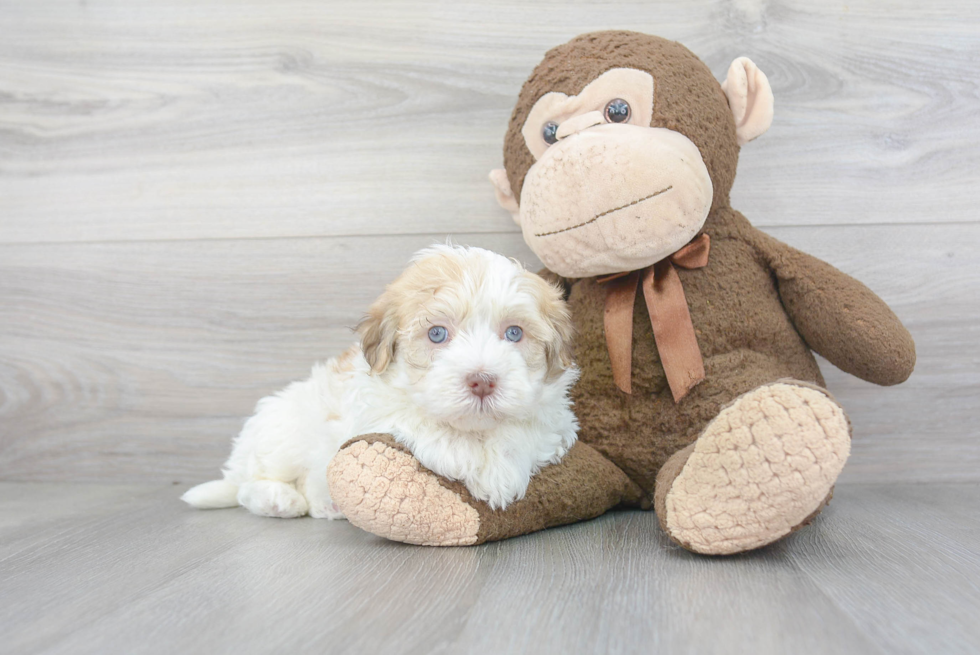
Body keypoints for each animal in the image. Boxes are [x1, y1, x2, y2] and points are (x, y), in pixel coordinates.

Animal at [183, 243, 580, 520]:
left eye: (514, 333)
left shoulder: (554, 419)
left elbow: (522, 430)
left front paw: (501, 470)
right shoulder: (376, 410)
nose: (482, 381)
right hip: (282, 432)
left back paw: (327, 505)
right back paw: (279, 500)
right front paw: (470, 459)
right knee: (248, 485)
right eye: (437, 334)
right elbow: (424, 423)